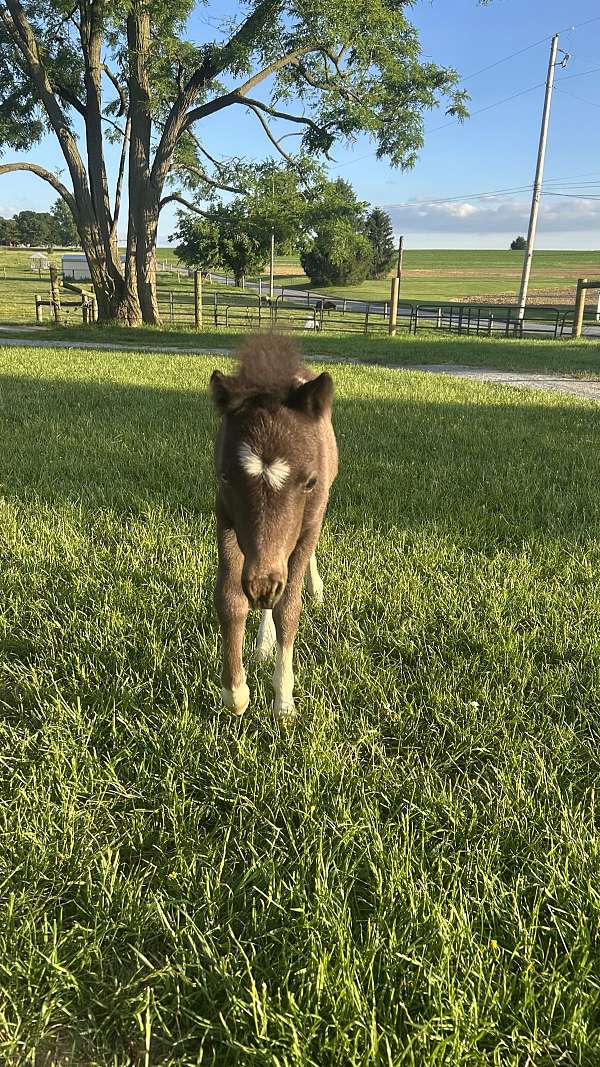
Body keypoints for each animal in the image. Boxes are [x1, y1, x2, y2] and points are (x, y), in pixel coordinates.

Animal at [210, 336, 338, 718]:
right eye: (225, 476)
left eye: (310, 482)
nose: (261, 585)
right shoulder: (225, 517)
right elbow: (230, 599)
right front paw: (235, 693)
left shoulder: (309, 524)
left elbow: (288, 608)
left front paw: (284, 702)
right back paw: (262, 642)